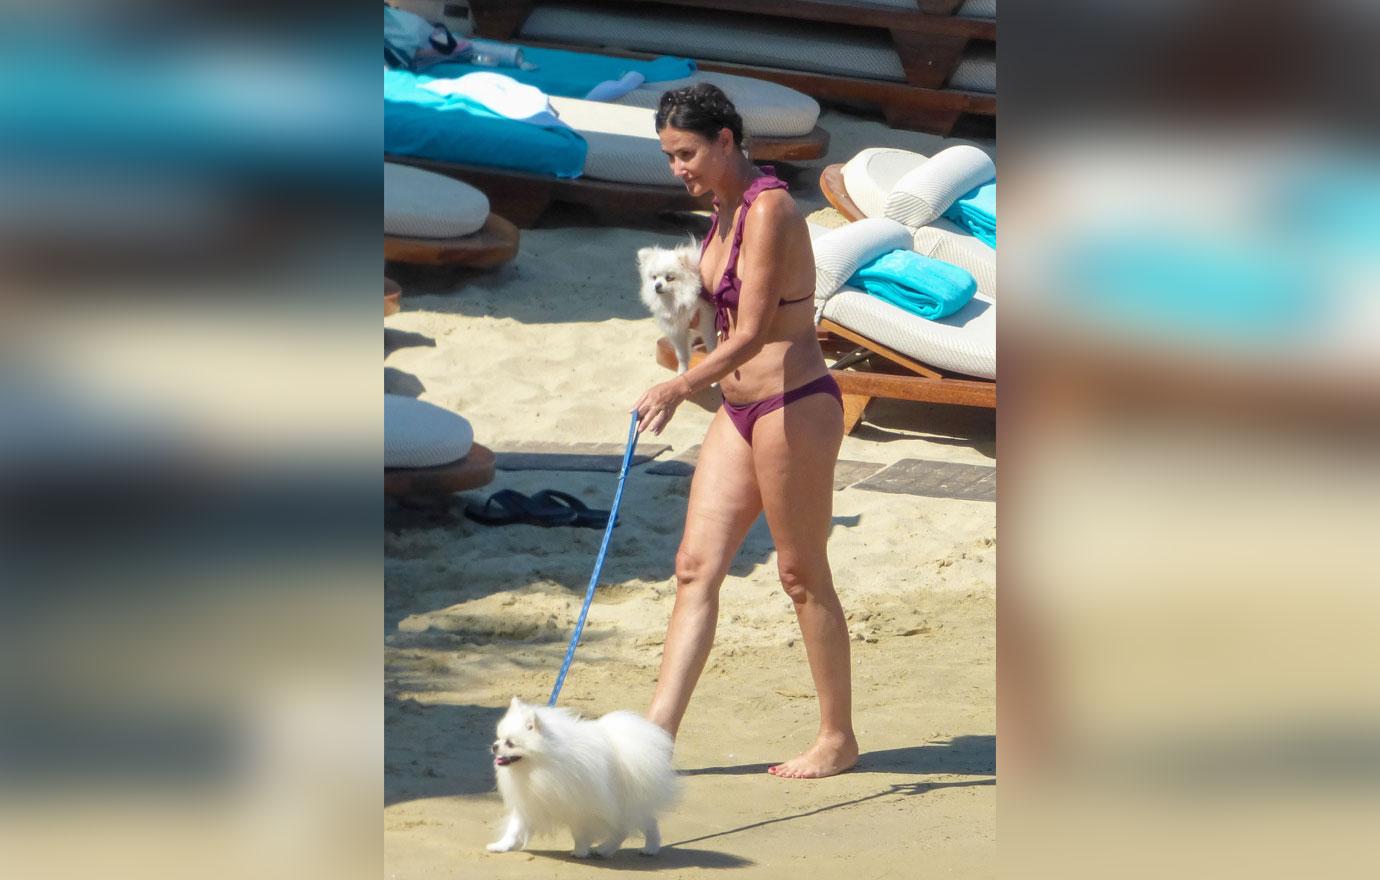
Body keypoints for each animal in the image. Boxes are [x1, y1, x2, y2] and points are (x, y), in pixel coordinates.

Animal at [485, 700, 678, 860]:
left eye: (510, 743)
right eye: (499, 738)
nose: (495, 746)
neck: (541, 765)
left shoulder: (579, 808)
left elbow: (579, 833)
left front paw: (580, 851)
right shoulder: (530, 803)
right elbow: (514, 828)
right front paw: (501, 846)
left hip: (625, 803)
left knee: (640, 825)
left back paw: (648, 848)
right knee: (629, 828)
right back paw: (607, 850)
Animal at [637, 242, 723, 375]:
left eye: (669, 278)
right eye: (654, 277)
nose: (657, 286)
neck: (678, 299)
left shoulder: (707, 323)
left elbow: (712, 347)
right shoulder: (677, 331)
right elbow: (682, 355)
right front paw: (682, 372)